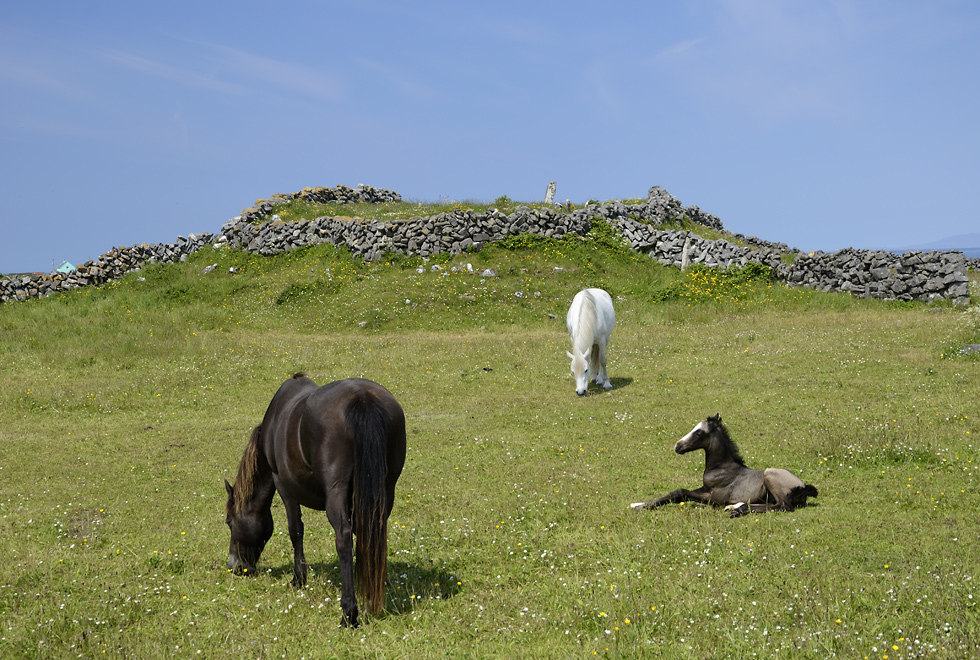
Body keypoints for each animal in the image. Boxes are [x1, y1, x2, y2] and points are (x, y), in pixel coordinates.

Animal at [224, 374, 404, 628]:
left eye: (229, 522)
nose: (235, 567)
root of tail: (362, 397)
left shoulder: (284, 486)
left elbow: (295, 530)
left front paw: (298, 578)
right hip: (385, 489)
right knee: (373, 534)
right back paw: (370, 599)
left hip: (336, 494)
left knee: (343, 538)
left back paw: (349, 612)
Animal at [632, 416, 816, 520]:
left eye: (699, 432)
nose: (677, 446)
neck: (722, 467)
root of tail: (803, 487)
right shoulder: (704, 488)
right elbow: (672, 493)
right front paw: (637, 504)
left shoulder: (713, 498)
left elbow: (681, 492)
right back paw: (735, 507)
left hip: (769, 474)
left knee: (783, 506)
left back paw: (738, 510)